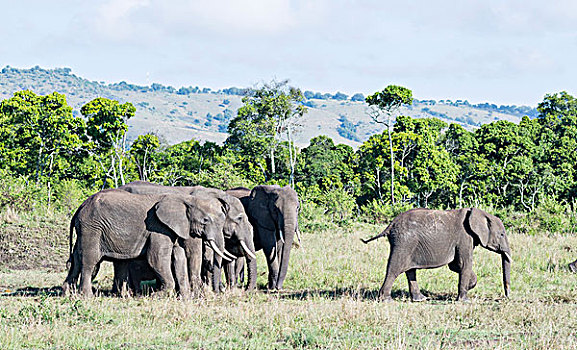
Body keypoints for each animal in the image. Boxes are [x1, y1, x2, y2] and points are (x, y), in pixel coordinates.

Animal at [61, 189, 227, 298]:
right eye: (205, 220)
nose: (218, 291)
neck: (184, 198)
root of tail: (80, 208)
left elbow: (178, 257)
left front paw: (185, 298)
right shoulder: (157, 227)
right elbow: (157, 258)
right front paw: (159, 295)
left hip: (86, 229)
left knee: (77, 260)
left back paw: (68, 294)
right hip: (91, 227)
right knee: (90, 261)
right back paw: (87, 296)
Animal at [362, 208, 510, 300]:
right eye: (502, 234)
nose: (506, 297)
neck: (477, 213)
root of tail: (391, 224)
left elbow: (456, 265)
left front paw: (468, 286)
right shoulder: (465, 238)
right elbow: (464, 264)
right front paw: (464, 300)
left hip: (408, 244)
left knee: (410, 270)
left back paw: (420, 299)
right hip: (404, 242)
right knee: (394, 269)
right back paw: (386, 300)